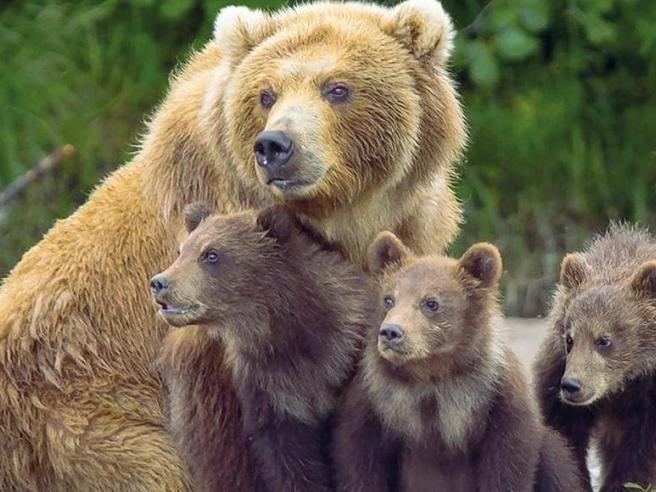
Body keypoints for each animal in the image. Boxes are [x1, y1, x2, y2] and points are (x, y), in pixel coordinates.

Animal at [0, 1, 466, 490]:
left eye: (337, 88)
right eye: (266, 94)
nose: (275, 145)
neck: (339, 221)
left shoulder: (406, 236)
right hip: (78, 424)